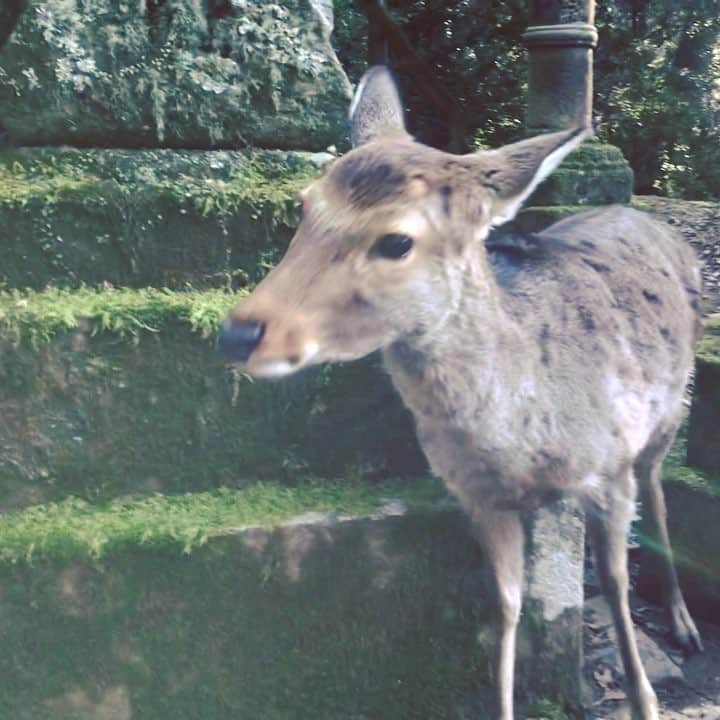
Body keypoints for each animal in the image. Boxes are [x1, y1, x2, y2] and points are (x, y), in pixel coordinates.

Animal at [218, 67, 704, 719]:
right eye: (303, 206)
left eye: (397, 241)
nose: (239, 333)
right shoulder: (476, 495)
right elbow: (505, 606)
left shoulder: (610, 465)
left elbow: (615, 579)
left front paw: (645, 700)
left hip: (672, 408)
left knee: (658, 488)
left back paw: (683, 622)